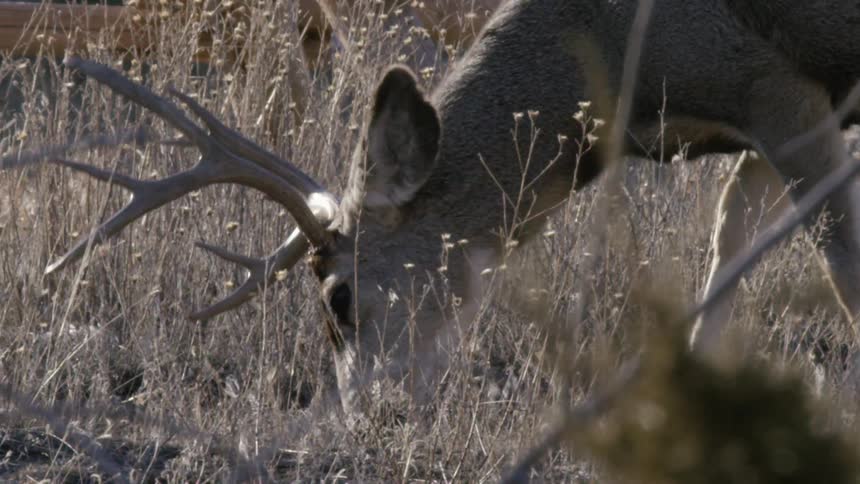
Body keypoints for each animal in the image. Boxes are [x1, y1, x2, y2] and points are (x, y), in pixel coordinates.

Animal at [4, 0, 860, 416]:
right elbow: (728, 252)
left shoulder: (776, 88)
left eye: (339, 297)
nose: (368, 413)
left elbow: (839, 259)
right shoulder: (755, 120)